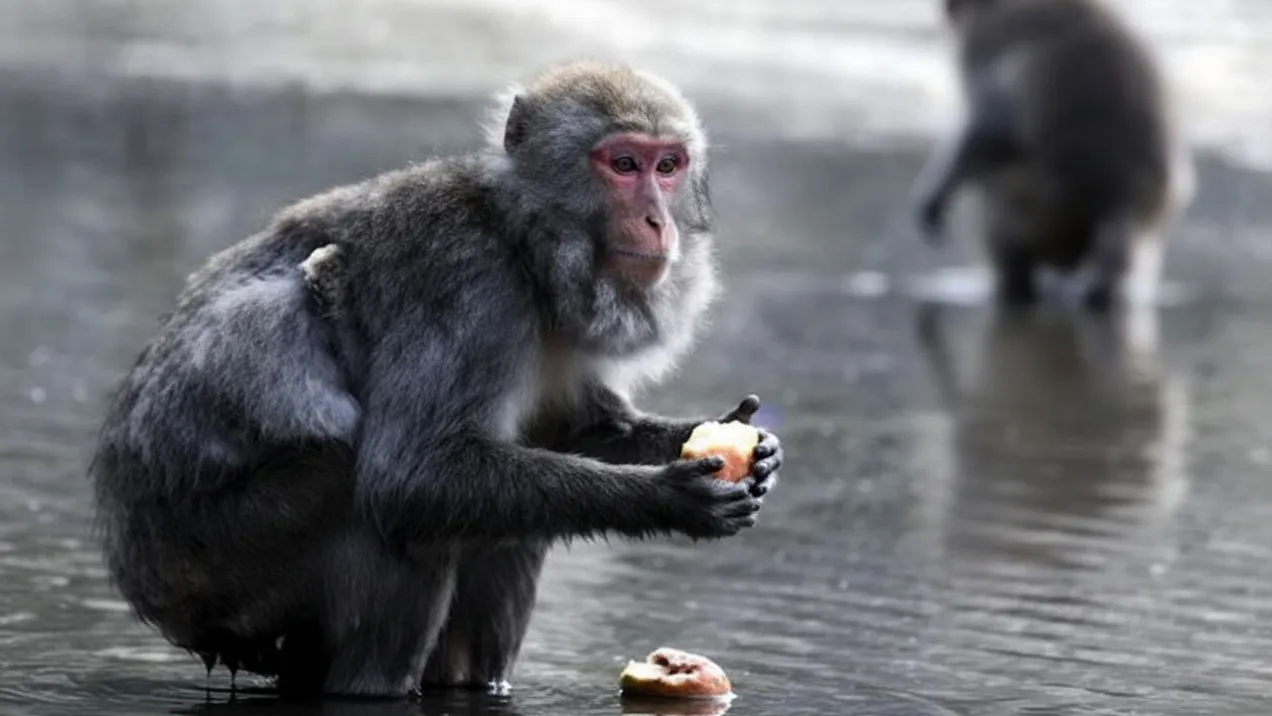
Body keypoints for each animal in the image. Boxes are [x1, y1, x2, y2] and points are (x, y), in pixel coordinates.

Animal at [87, 60, 784, 699]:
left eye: (668, 167)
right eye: (623, 164)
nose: (658, 222)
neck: (524, 244)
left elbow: (574, 429)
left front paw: (745, 446)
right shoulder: (465, 282)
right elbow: (411, 473)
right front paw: (667, 496)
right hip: (218, 569)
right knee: (367, 499)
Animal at [912, 0, 1194, 310]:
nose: (946, 9)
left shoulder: (983, 42)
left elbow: (992, 126)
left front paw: (934, 196)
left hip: (1037, 214)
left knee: (999, 203)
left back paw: (1019, 285)